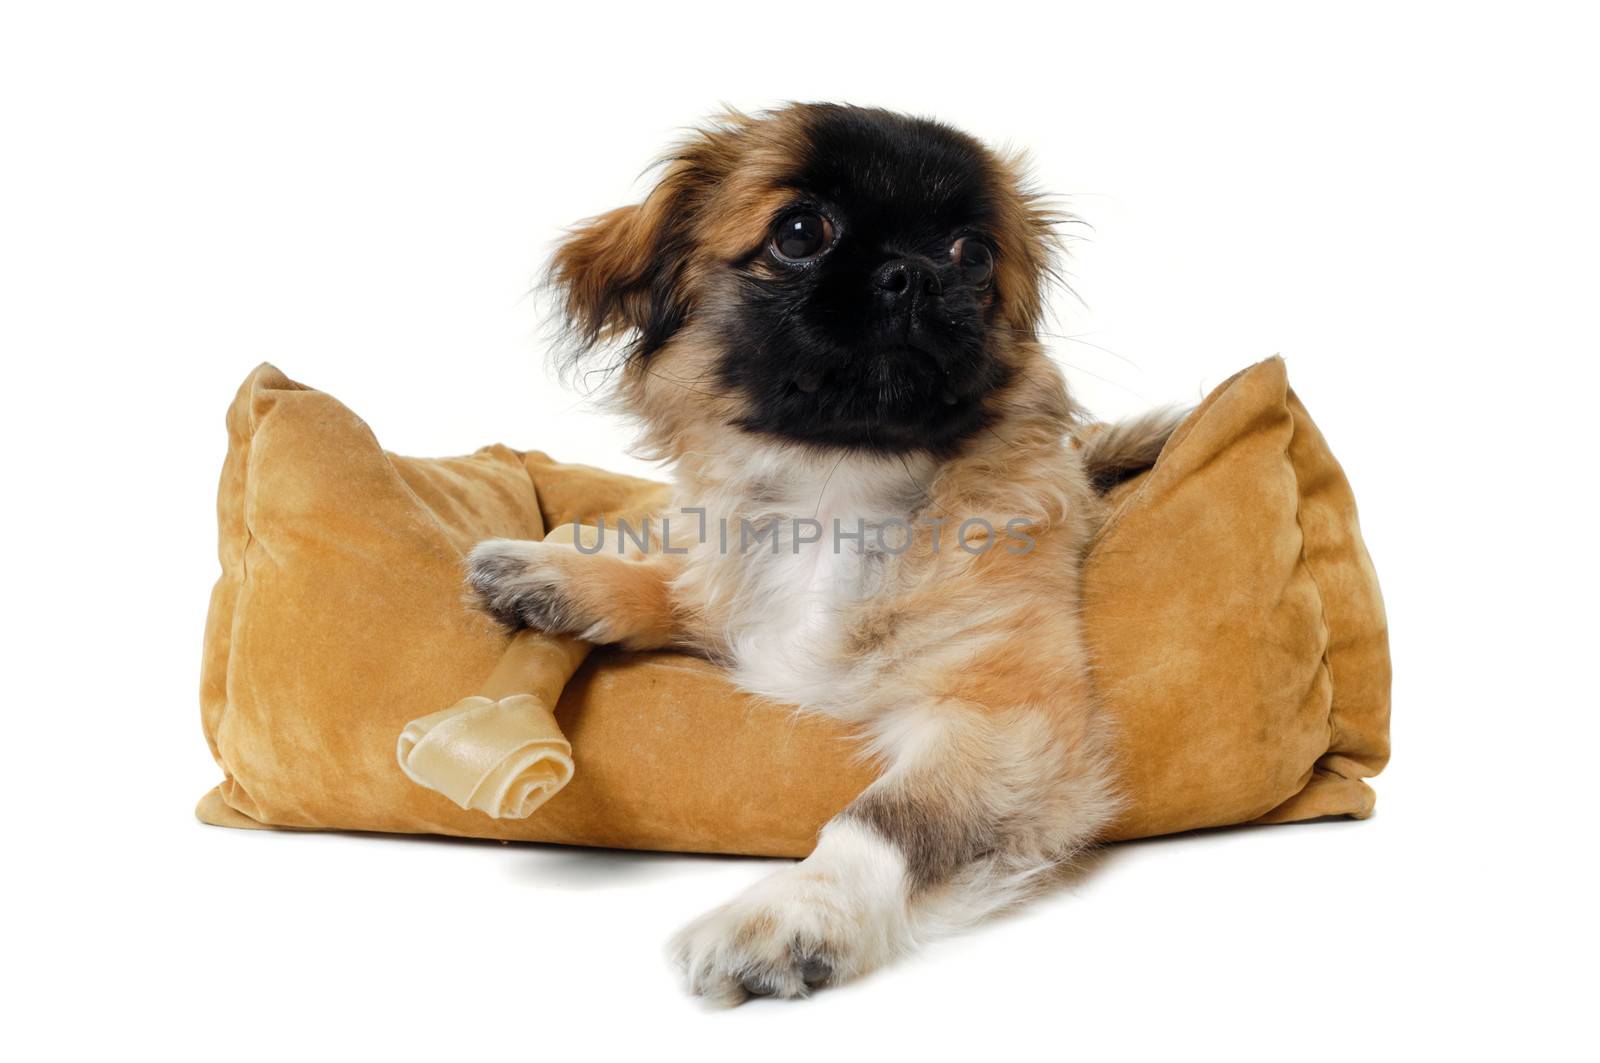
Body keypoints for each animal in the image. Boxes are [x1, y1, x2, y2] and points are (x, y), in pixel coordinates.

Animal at [467, 105, 1184, 1005]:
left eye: (973, 255)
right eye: (801, 232)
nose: (915, 274)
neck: (837, 485)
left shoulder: (1001, 717)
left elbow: (883, 817)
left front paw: (796, 908)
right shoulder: (736, 602)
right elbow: (678, 586)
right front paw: (555, 571)